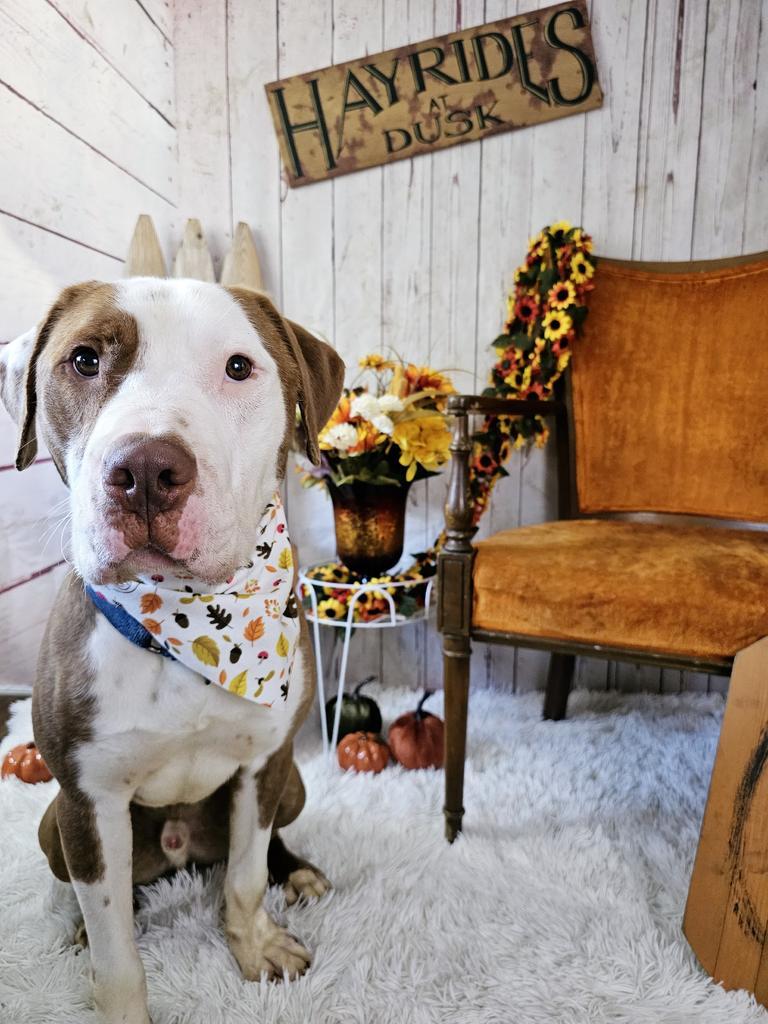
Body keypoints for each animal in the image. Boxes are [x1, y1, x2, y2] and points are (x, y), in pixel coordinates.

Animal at [0, 278, 346, 1024]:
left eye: (239, 367)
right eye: (84, 360)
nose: (145, 468)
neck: (194, 628)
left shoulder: (265, 763)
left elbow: (245, 875)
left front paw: (256, 946)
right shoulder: (88, 799)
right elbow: (115, 949)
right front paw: (120, 1001)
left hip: (294, 786)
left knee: (262, 847)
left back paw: (299, 872)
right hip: (51, 822)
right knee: (97, 893)